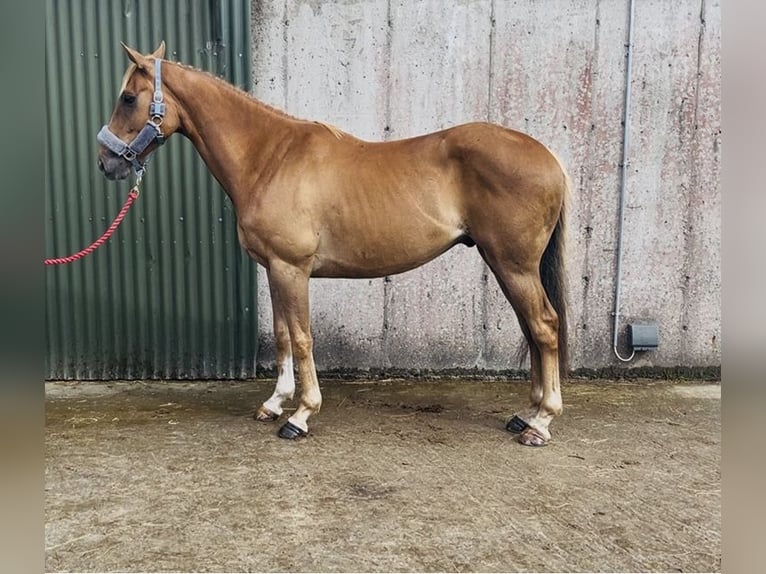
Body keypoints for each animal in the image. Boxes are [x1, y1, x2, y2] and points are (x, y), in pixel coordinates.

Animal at [97, 42, 570, 446]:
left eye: (128, 98)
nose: (105, 162)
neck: (269, 158)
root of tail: (550, 159)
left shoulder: (292, 268)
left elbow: (303, 337)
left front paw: (301, 415)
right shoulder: (274, 268)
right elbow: (284, 336)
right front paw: (274, 403)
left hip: (513, 264)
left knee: (545, 326)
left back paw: (541, 422)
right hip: (504, 263)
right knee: (531, 328)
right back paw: (526, 414)